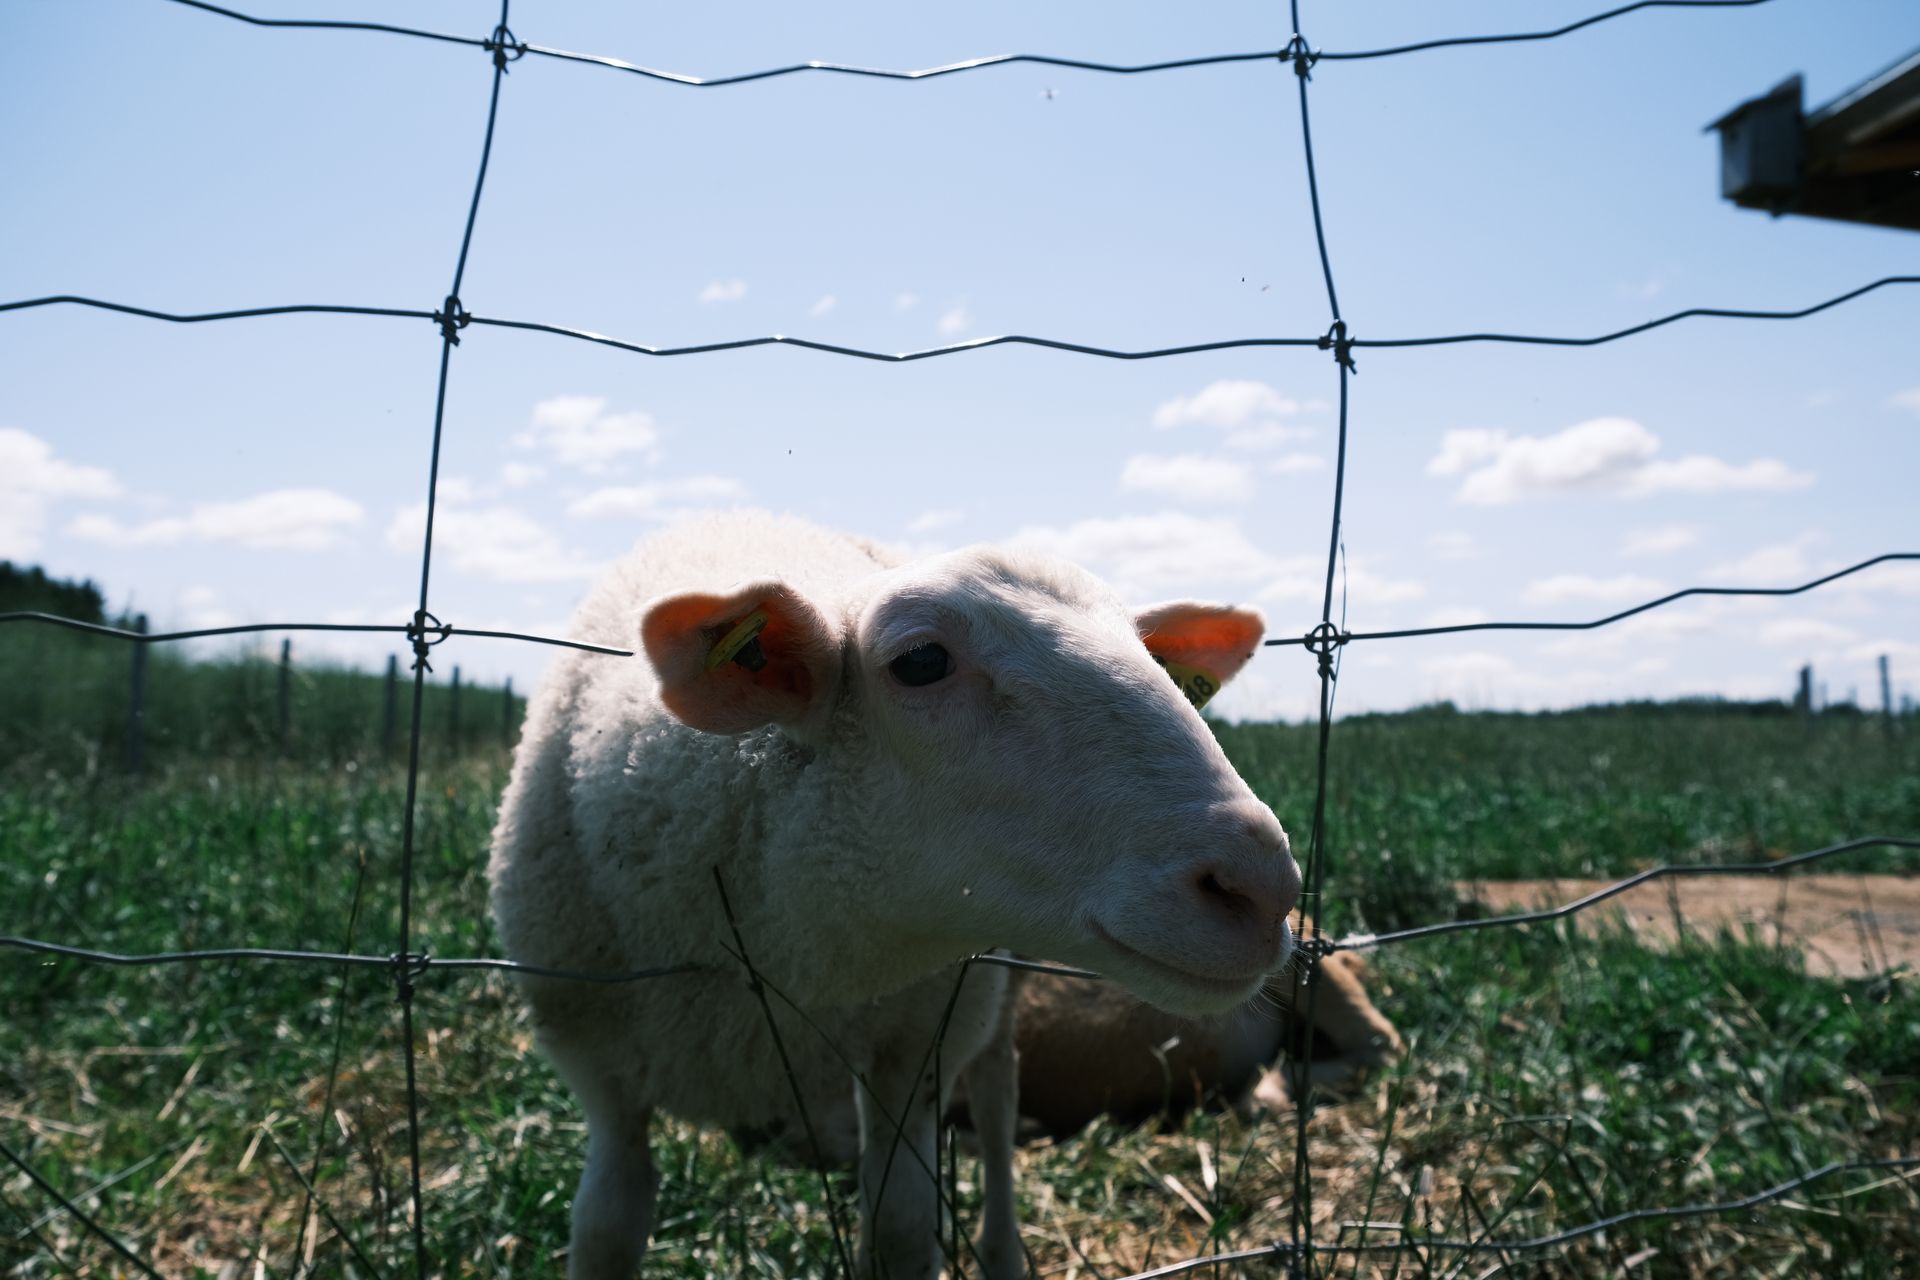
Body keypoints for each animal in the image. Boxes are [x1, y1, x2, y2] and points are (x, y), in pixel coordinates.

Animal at [487, 510, 1302, 1280]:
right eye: (920, 662)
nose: (1262, 888)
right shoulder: (599, 1074)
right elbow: (605, 1228)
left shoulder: (916, 1053)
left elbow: (904, 1228)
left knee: (998, 1092)